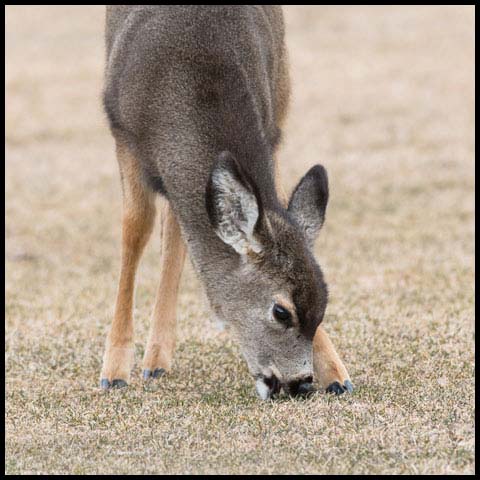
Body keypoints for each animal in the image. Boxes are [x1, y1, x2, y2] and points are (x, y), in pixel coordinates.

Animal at [100, 5, 352, 400]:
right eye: (281, 312)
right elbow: (135, 229)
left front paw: (335, 371)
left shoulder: (270, 125)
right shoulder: (123, 134)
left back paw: (157, 358)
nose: (300, 383)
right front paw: (114, 369)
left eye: (324, 304)